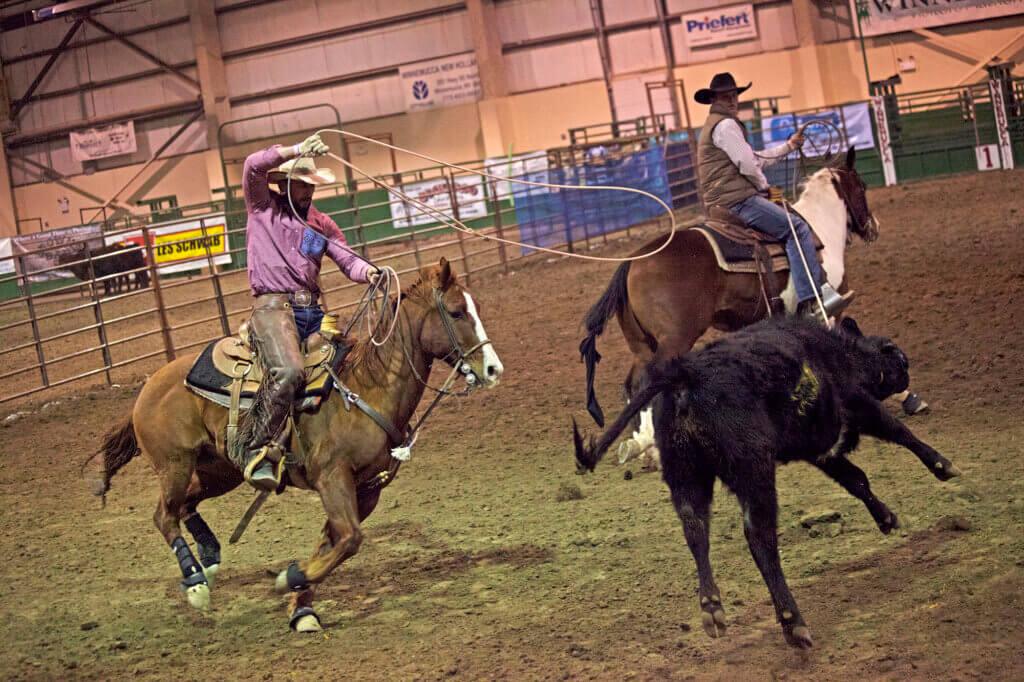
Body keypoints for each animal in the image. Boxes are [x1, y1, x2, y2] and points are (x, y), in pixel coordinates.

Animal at [89, 258, 503, 630]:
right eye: (456, 312)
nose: (493, 370)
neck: (369, 388)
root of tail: (149, 385)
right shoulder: (332, 478)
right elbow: (350, 539)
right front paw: (288, 579)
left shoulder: (367, 490)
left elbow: (333, 542)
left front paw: (301, 605)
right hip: (174, 464)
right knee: (164, 515)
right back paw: (195, 583)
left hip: (220, 471)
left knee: (186, 505)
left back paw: (209, 559)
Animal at [577, 315, 958, 647]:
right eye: (894, 352)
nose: (906, 370)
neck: (838, 351)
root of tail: (685, 375)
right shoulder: (856, 403)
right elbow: (898, 432)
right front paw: (943, 466)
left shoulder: (822, 450)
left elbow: (856, 480)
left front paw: (886, 518)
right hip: (753, 469)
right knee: (759, 538)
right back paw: (793, 621)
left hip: (685, 473)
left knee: (695, 530)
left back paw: (712, 607)